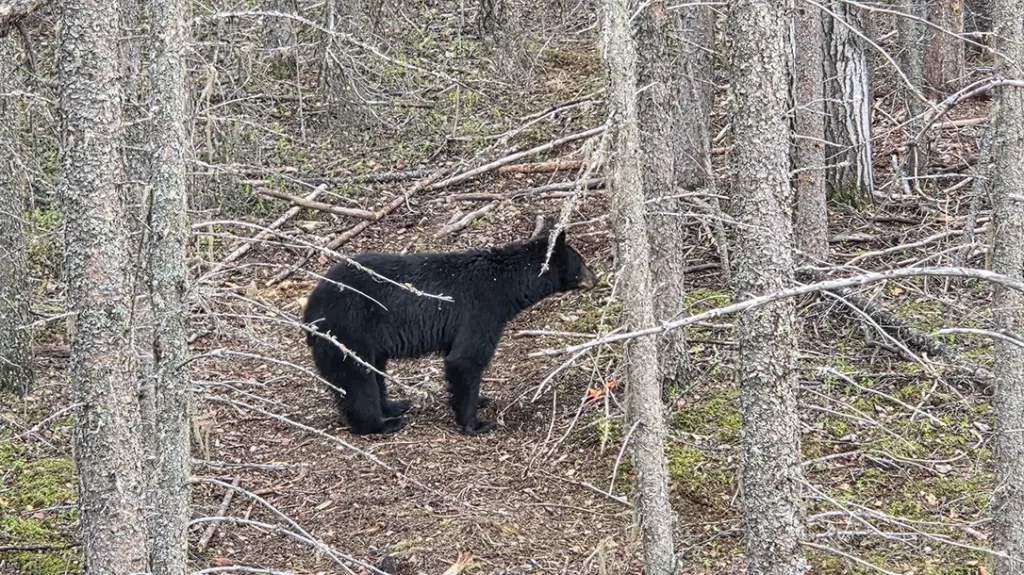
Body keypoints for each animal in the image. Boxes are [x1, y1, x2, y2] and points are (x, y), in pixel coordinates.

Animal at [302, 216, 598, 436]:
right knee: (356, 379)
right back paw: (381, 424)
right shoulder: (480, 311)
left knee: (375, 371)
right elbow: (465, 360)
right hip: (348, 329)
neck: (504, 284)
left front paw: (480, 399)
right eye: (582, 262)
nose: (596, 278)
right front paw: (475, 423)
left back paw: (394, 405)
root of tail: (309, 309)